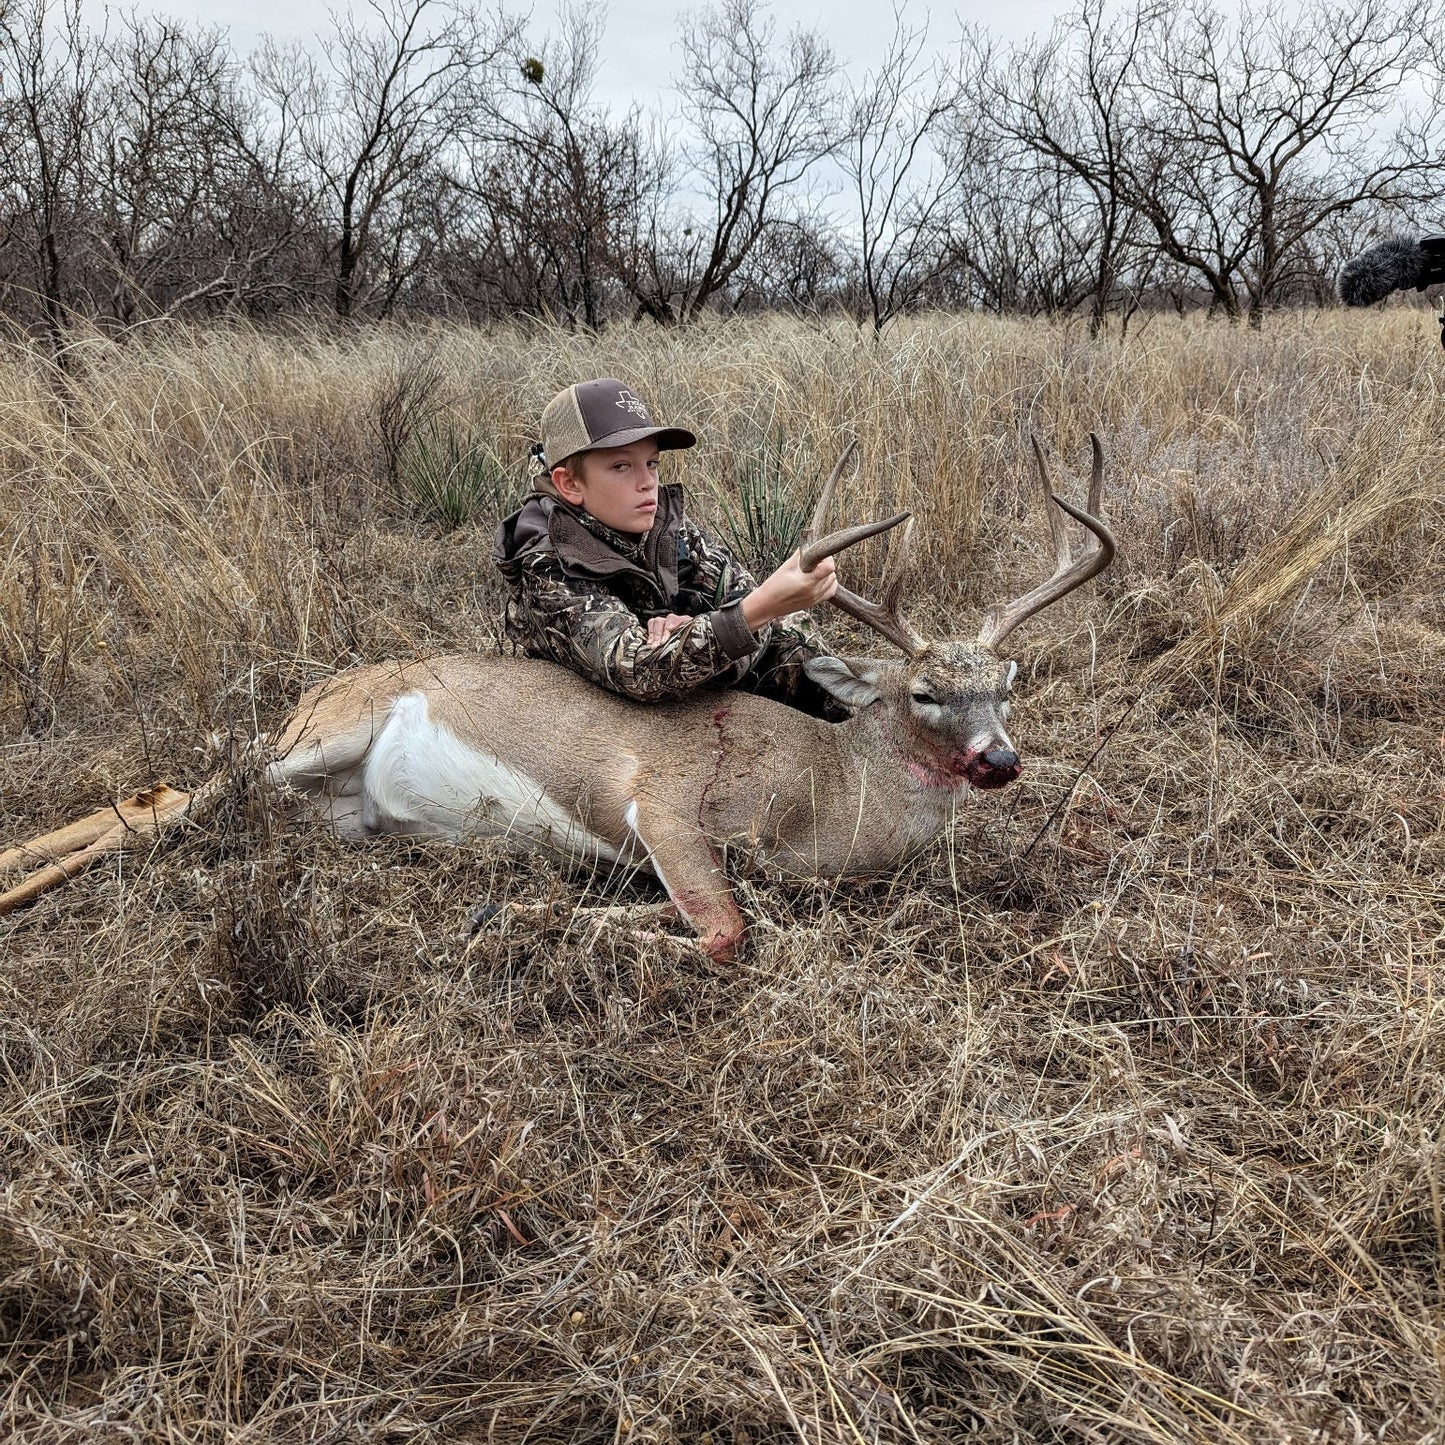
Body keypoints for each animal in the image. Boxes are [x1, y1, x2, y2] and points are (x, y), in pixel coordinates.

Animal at [0, 438, 1115, 959]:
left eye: (1007, 684)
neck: (821, 795)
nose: (999, 759)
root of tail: (321, 690)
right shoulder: (662, 800)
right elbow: (725, 929)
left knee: (172, 799)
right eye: (924, 690)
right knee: (172, 797)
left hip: (333, 807)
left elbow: (728, 919)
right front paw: (542, 912)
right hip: (319, 735)